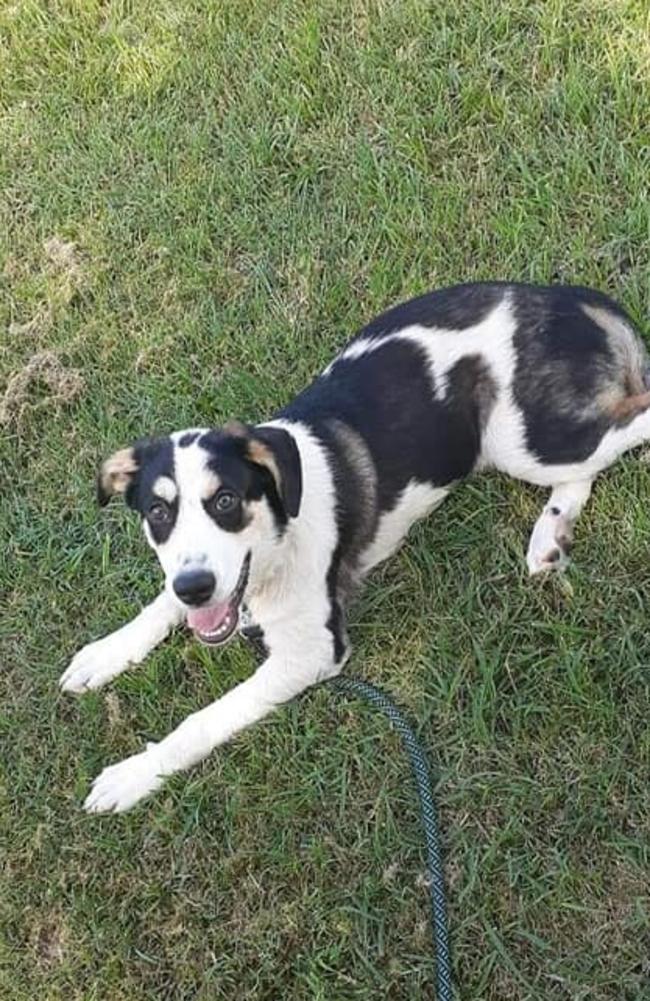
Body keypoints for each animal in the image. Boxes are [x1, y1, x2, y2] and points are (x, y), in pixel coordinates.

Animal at [62, 282, 650, 812]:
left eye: (226, 500)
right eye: (158, 513)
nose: (196, 587)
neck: (276, 538)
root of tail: (568, 295)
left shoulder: (314, 651)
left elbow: (204, 718)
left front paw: (136, 774)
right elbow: (160, 604)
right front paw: (105, 653)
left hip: (517, 439)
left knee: (622, 429)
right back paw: (550, 538)